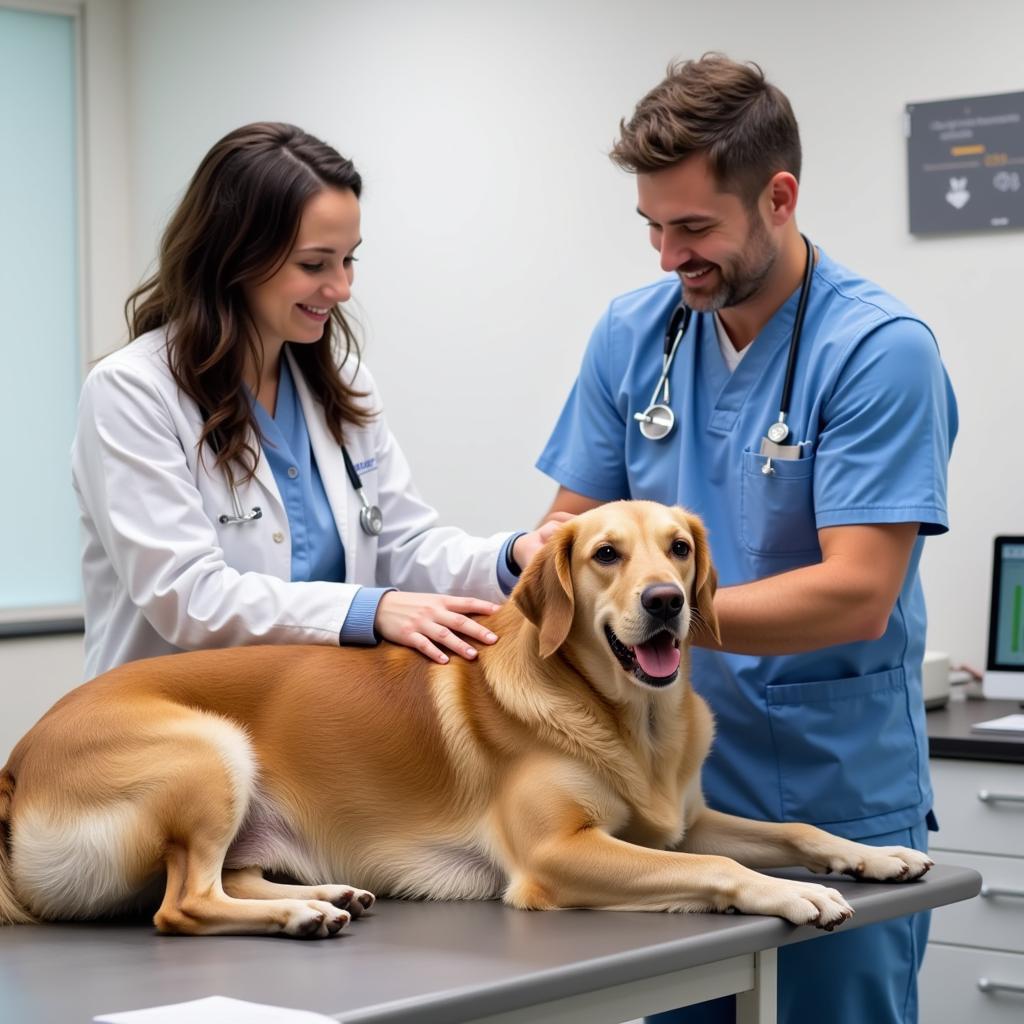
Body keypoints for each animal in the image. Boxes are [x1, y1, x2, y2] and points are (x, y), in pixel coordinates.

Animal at [0, 499, 929, 937]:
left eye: (679, 547)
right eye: (606, 554)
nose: (667, 602)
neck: (631, 721)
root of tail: (16, 766)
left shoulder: (682, 822)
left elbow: (794, 828)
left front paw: (874, 855)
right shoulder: (558, 855)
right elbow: (724, 870)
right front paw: (792, 894)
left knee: (225, 879)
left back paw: (327, 893)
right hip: (210, 747)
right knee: (182, 903)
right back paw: (298, 915)